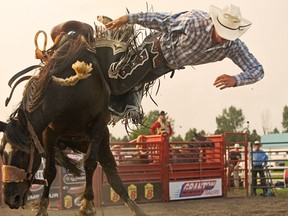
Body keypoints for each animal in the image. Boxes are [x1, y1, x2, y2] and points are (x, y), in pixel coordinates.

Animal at [0, 19, 158, 216]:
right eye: (2, 154)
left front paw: (86, 205)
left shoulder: (98, 125)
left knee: (112, 174)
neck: (71, 93)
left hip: (101, 141)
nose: (10, 198)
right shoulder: (49, 133)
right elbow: (49, 171)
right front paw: (42, 207)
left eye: (23, 153)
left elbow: (89, 163)